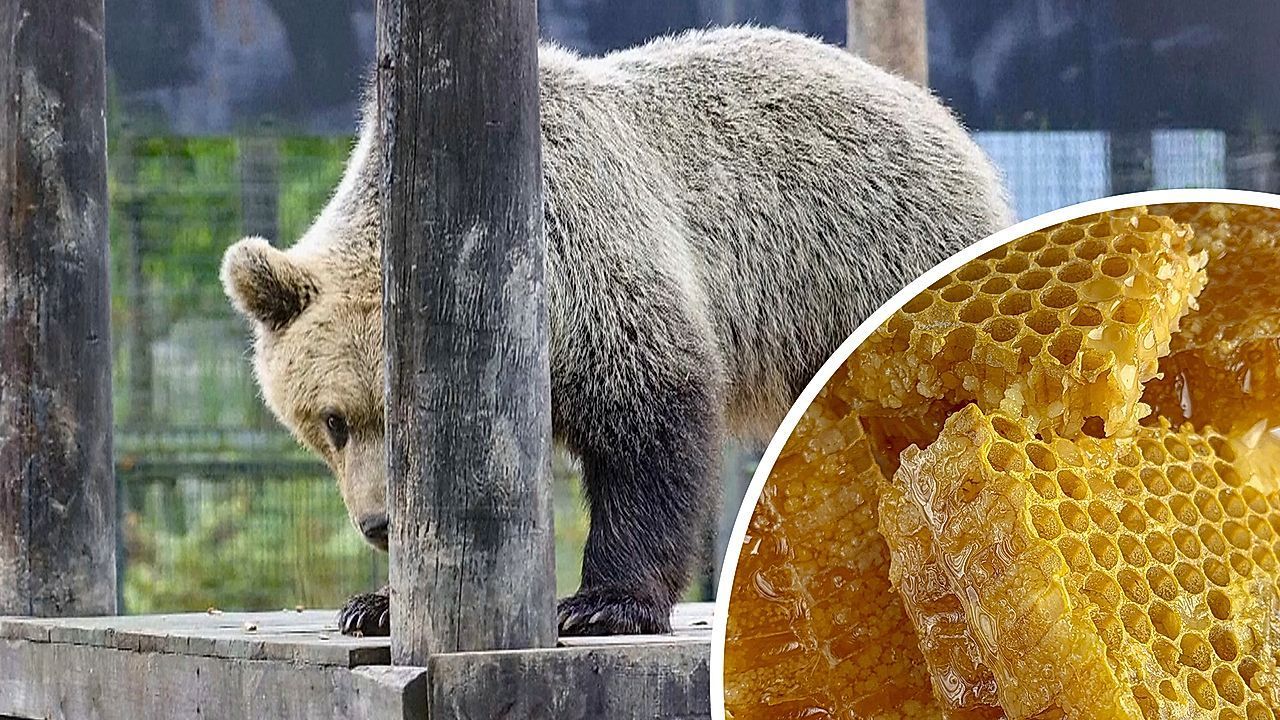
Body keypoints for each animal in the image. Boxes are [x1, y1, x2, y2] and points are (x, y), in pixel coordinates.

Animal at [220, 26, 1011, 637]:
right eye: (333, 420)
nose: (379, 523)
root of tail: (937, 112)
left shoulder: (596, 263)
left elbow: (650, 427)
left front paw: (603, 603)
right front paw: (375, 605)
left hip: (864, 254)